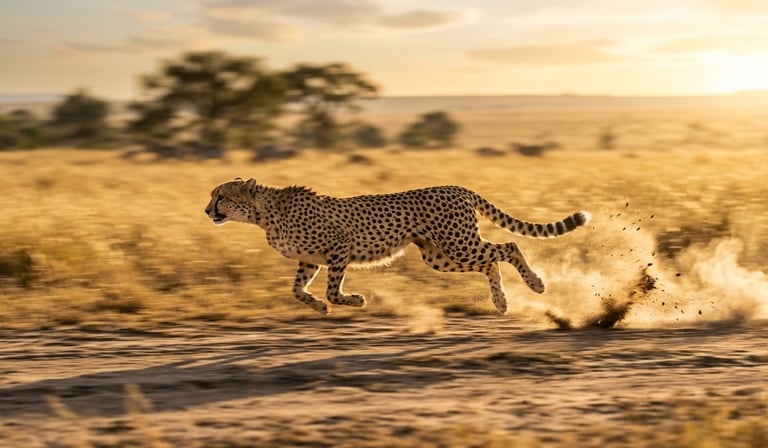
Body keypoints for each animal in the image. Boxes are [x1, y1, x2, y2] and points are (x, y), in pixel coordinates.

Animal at [205, 177, 590, 315]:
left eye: (221, 196)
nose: (207, 211)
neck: (263, 213)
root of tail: (456, 187)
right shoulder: (309, 260)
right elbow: (297, 289)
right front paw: (318, 307)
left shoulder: (339, 246)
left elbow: (332, 288)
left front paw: (352, 300)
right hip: (440, 255)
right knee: (490, 262)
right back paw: (500, 301)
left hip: (458, 243)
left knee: (508, 246)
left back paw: (535, 284)